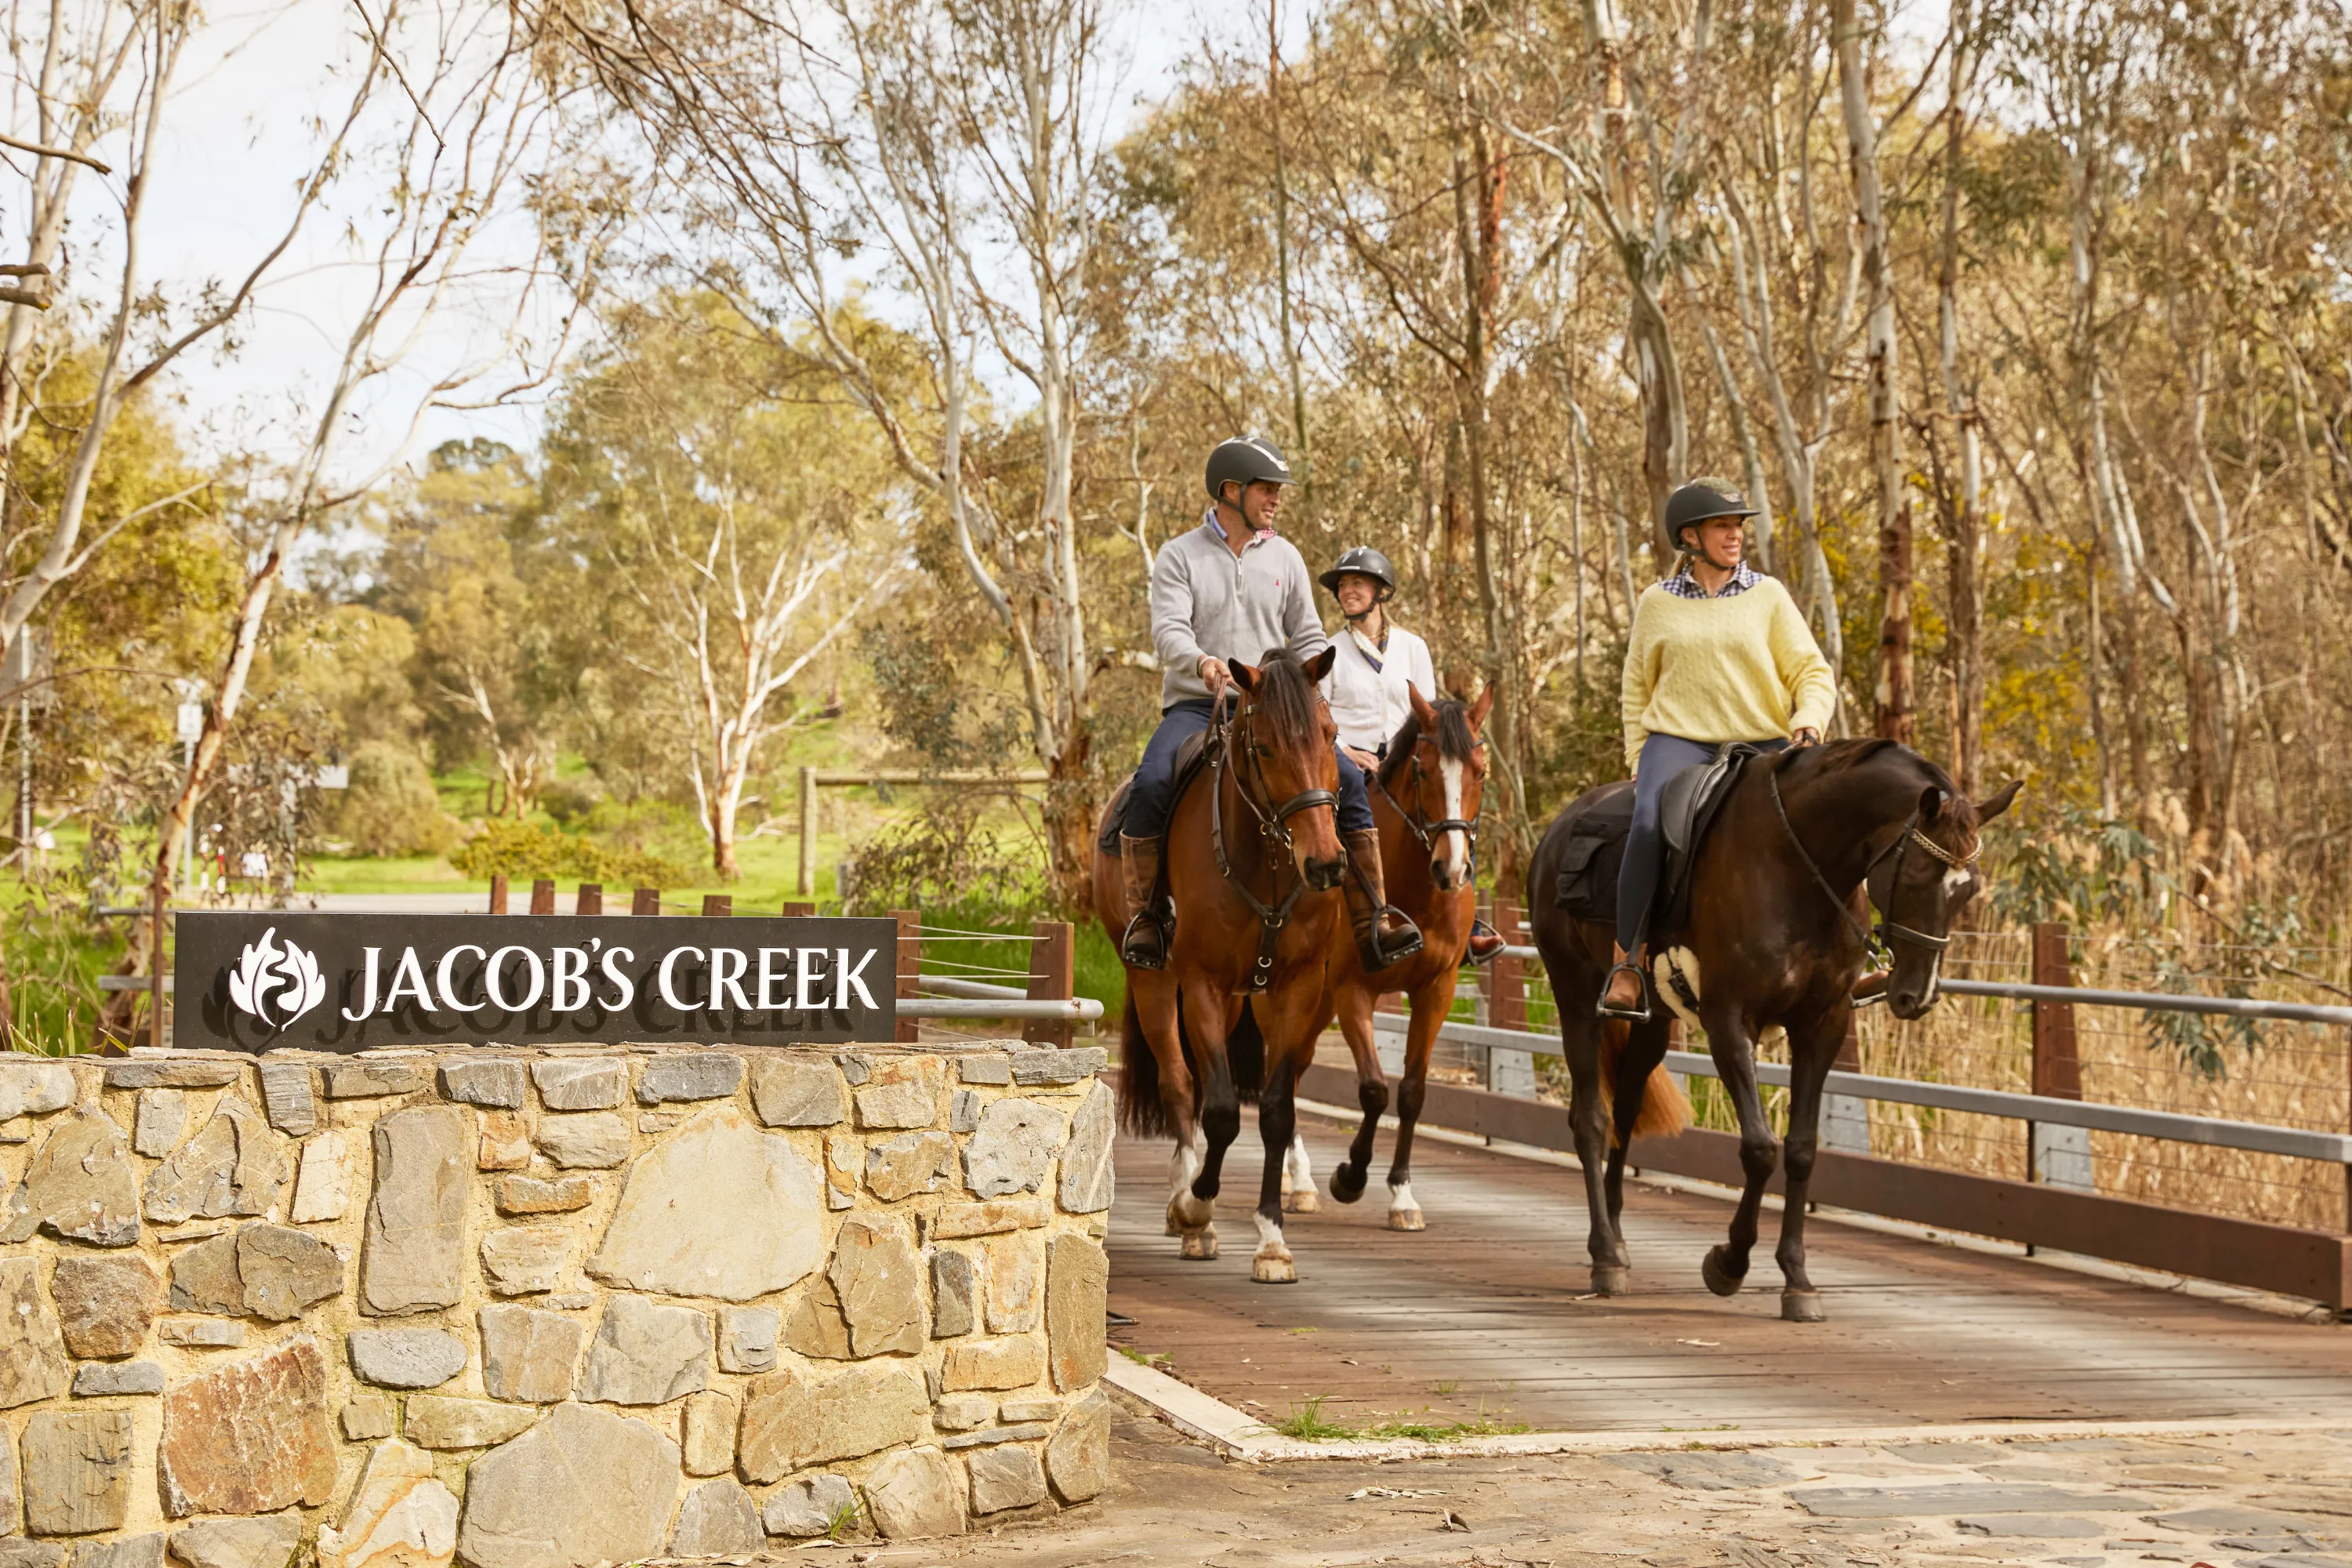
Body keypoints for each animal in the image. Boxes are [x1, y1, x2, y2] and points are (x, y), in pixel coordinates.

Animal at [1088, 647, 1349, 1284]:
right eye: (1266, 748)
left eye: (1330, 735)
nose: (1326, 863)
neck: (1268, 861)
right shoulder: (1201, 984)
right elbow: (1225, 1112)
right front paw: (1195, 1206)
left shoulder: (1296, 989)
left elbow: (1275, 1111)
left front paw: (1273, 1242)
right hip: (1155, 982)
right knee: (1180, 1084)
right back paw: (1187, 1206)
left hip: (1234, 1000)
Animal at [1291, 686, 1493, 1231]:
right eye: (1423, 772)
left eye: (1481, 771)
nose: (1452, 869)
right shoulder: (1353, 993)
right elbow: (1375, 1090)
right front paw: (1350, 1177)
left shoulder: (1436, 991)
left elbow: (1411, 1092)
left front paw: (1402, 1194)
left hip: (1315, 1004)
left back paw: (1298, 1182)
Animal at [1527, 739, 2020, 1321]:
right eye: (1919, 875)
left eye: (1970, 891)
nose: (1916, 996)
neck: (1799, 866)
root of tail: (1560, 827)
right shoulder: (1728, 1021)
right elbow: (1760, 1149)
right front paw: (1728, 1262)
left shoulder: (1822, 1025)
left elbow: (1802, 1149)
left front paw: (1798, 1280)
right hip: (1575, 997)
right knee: (1591, 1120)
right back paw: (1604, 1255)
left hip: (1653, 1025)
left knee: (1625, 1112)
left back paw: (1619, 1241)